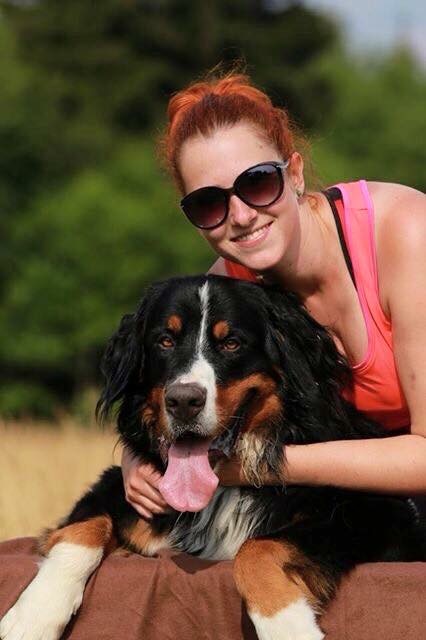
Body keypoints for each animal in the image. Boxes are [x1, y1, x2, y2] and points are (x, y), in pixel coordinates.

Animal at [1, 274, 425, 640]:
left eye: (231, 343)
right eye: (165, 341)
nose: (183, 401)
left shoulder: (372, 514)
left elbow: (257, 549)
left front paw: (288, 627)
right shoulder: (117, 487)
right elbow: (84, 527)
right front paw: (33, 615)